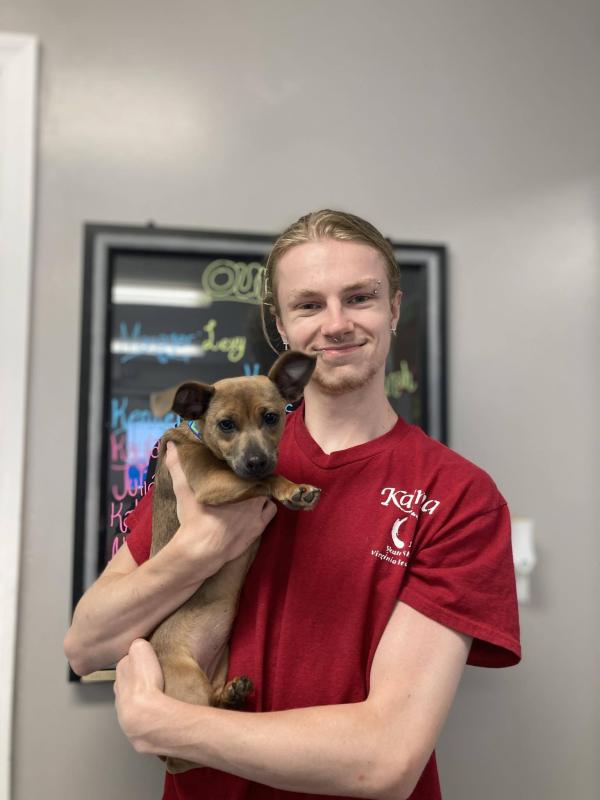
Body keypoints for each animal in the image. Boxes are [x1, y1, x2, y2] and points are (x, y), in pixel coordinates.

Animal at [147, 352, 322, 776]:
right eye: (226, 424)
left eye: (271, 417)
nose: (256, 460)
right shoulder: (214, 484)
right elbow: (266, 481)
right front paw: (293, 489)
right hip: (187, 689)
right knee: (196, 733)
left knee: (216, 709)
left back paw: (233, 695)